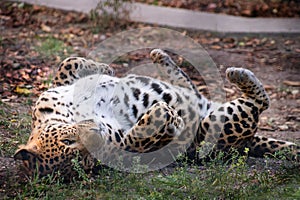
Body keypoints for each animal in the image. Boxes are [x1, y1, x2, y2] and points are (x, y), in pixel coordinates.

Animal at [13, 48, 298, 177]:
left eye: (68, 141)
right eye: (85, 159)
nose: (95, 132)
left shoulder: (53, 92)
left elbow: (67, 63)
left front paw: (103, 67)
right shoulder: (122, 145)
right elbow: (141, 135)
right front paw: (167, 117)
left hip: (202, 102)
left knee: (189, 85)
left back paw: (161, 57)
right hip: (217, 125)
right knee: (259, 105)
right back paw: (237, 77)